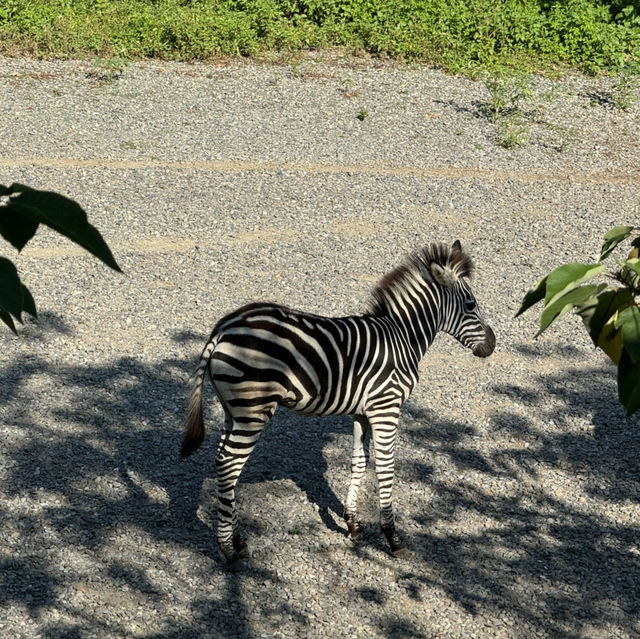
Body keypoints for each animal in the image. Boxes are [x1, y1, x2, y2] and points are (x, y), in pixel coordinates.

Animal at [180, 242, 496, 568]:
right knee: (229, 463)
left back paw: (238, 540)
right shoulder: (386, 407)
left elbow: (359, 461)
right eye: (471, 304)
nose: (492, 345)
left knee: (223, 460)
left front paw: (353, 524)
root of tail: (223, 328)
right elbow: (385, 467)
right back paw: (228, 550)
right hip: (252, 409)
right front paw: (392, 537)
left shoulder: (361, 411)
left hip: (233, 409)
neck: (402, 335)